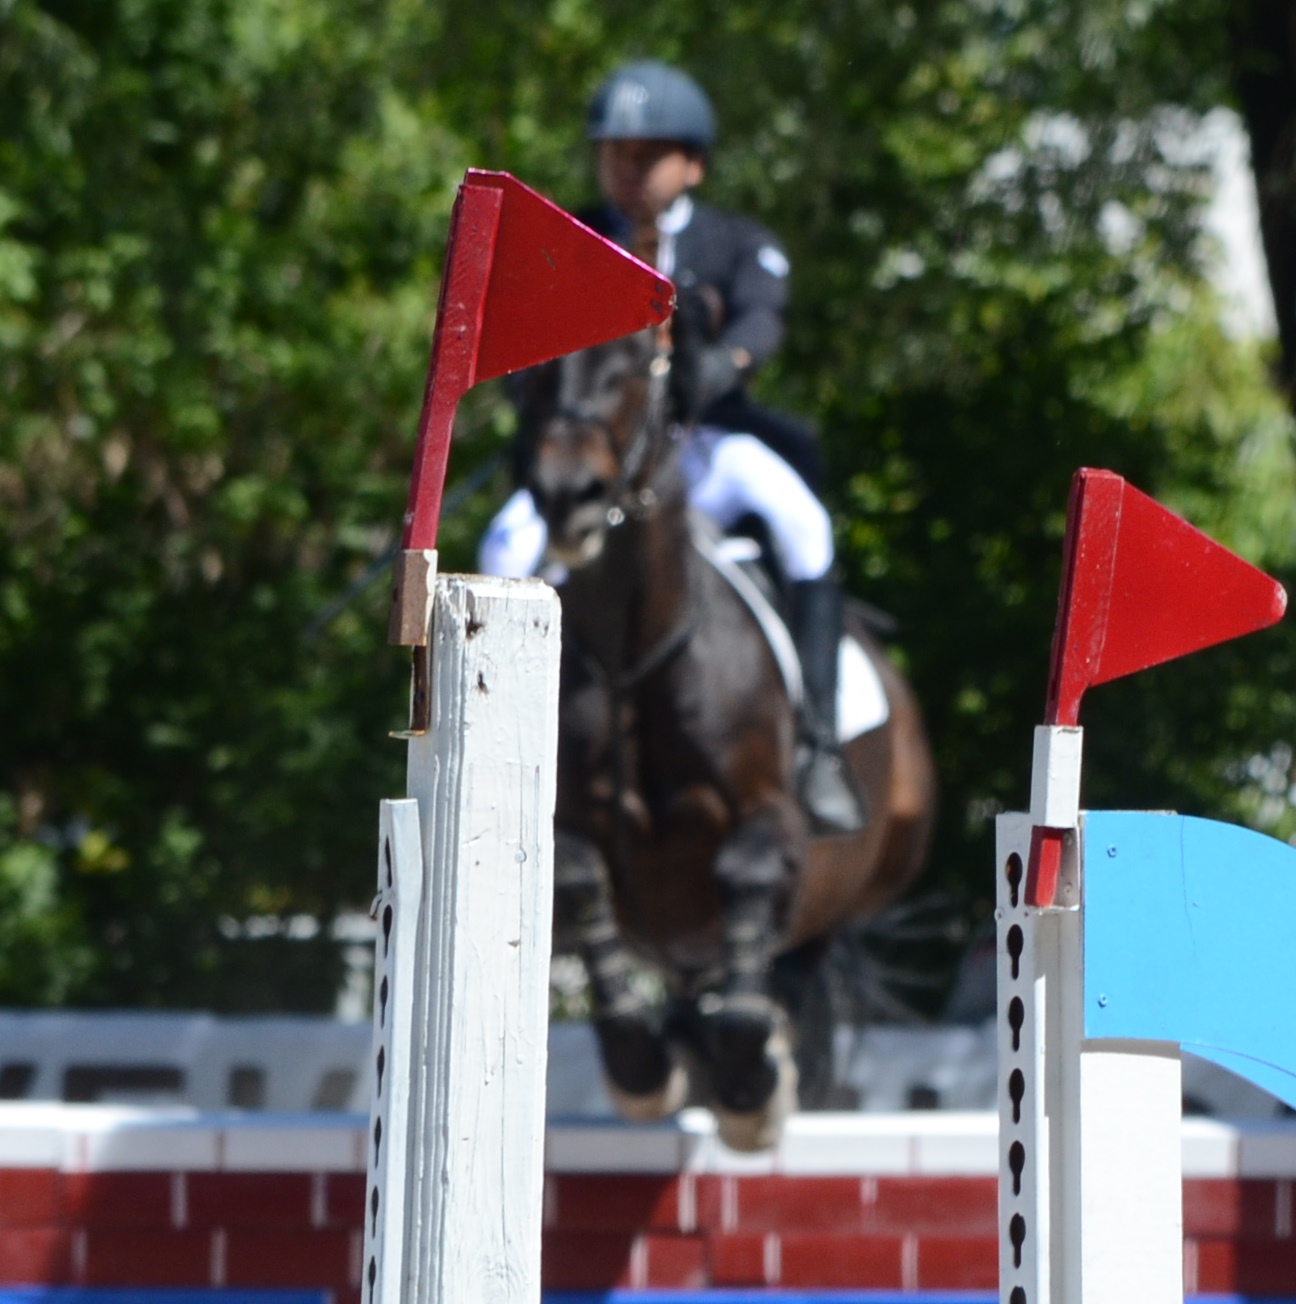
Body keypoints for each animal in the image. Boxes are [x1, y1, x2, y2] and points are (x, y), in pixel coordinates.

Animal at [520, 317, 936, 1150]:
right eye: (541, 377)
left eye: (631, 370)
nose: (568, 495)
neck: (636, 660)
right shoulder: (571, 823)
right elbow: (578, 876)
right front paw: (641, 1064)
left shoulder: (768, 816)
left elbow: (746, 875)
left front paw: (750, 1081)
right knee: (697, 971)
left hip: (876, 861)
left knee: (802, 947)